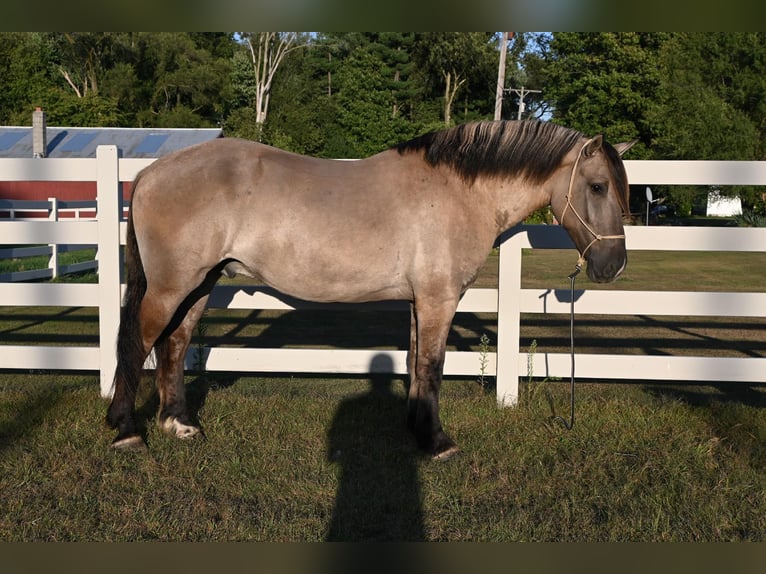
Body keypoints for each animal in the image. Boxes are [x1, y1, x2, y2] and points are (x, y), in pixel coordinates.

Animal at [106, 119, 634, 459]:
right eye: (598, 187)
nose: (613, 266)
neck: (457, 192)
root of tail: (150, 172)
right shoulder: (440, 298)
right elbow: (432, 366)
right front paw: (438, 444)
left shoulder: (422, 301)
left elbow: (418, 364)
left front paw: (416, 431)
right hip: (171, 287)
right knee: (137, 342)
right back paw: (126, 431)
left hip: (200, 285)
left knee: (174, 345)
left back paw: (179, 424)